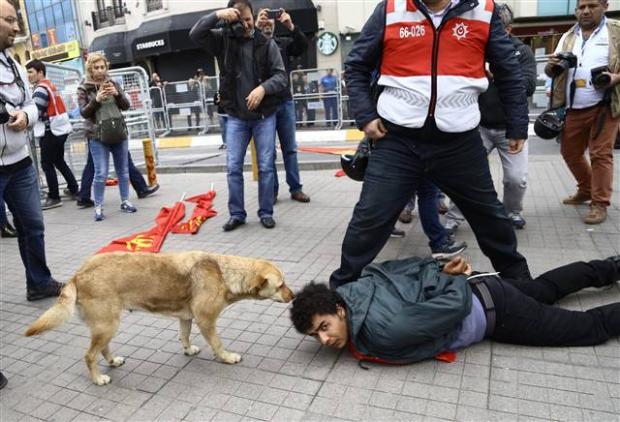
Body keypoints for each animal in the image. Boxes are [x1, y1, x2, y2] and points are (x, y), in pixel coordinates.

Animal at [24, 251, 296, 386]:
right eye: (281, 284)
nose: (293, 296)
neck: (223, 272)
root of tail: (78, 274)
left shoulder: (186, 318)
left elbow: (184, 336)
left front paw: (188, 350)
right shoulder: (206, 321)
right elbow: (218, 344)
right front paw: (227, 357)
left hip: (107, 325)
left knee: (102, 350)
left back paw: (112, 362)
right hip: (107, 325)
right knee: (90, 355)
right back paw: (99, 378)